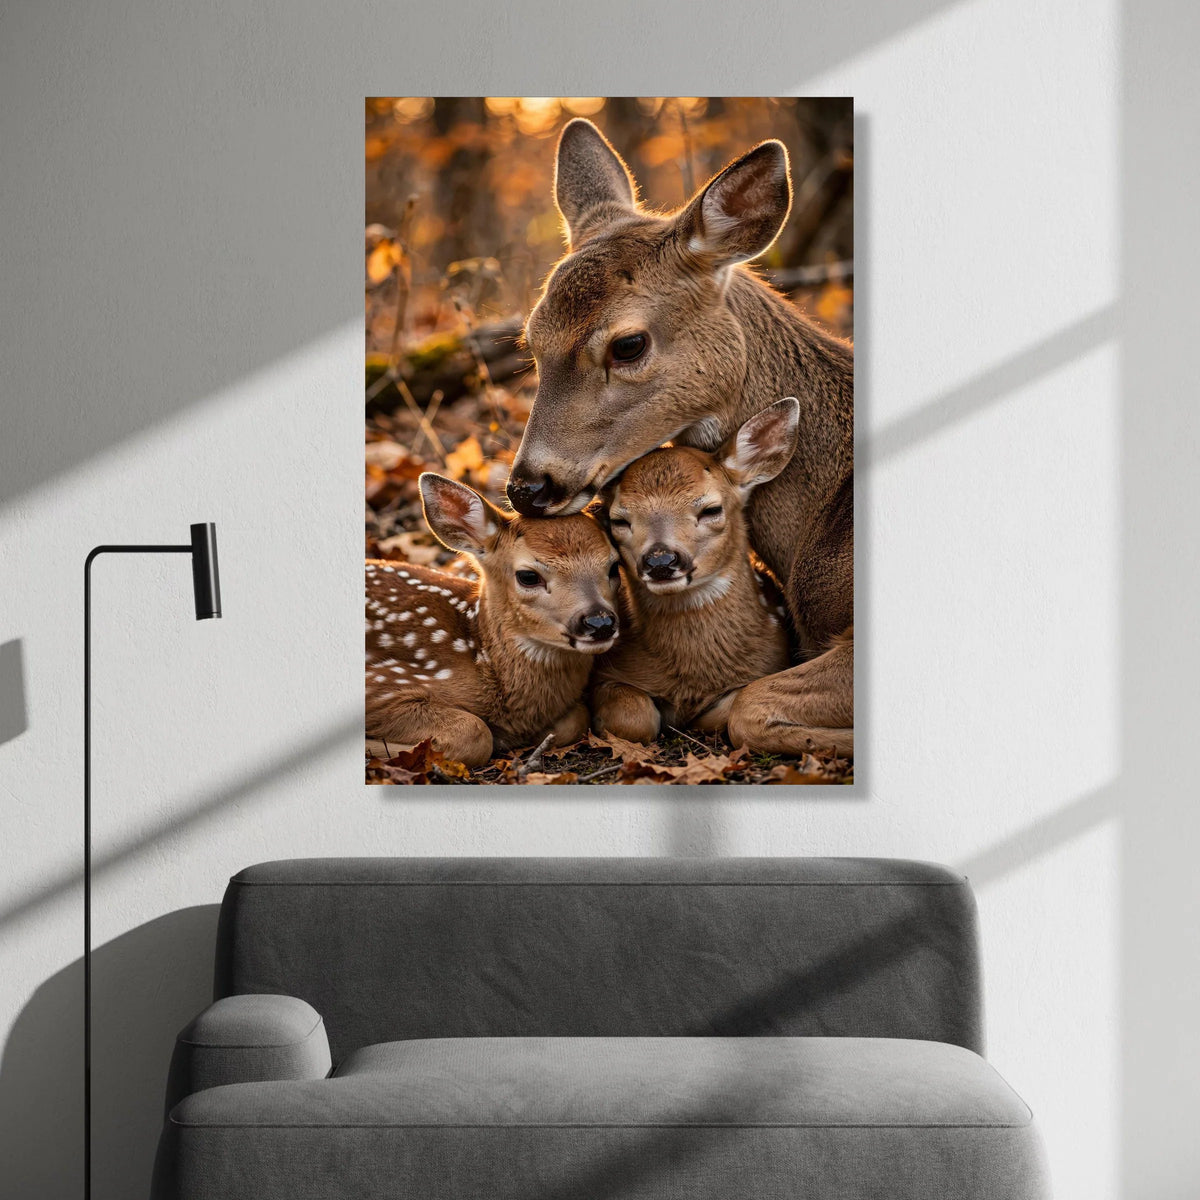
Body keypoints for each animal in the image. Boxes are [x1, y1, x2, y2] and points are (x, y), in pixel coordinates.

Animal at [366, 472, 621, 768]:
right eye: (528, 576)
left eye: (614, 567)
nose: (599, 622)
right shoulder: (383, 682)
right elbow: (475, 733)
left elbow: (576, 719)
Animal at [591, 399, 798, 744]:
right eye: (618, 520)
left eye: (711, 509)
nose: (660, 561)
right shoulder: (606, 672)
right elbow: (635, 718)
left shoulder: (770, 663)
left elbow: (727, 710)